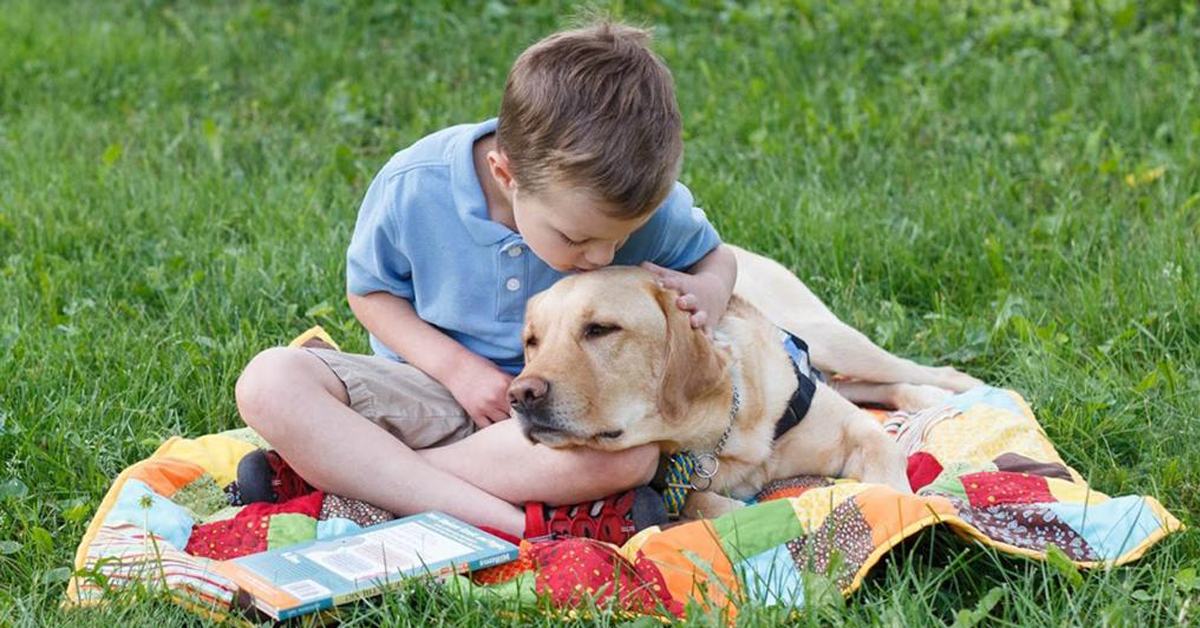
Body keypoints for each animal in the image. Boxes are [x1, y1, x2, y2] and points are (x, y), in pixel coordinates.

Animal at [511, 244, 979, 516]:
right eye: (532, 341)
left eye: (600, 329)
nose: (520, 394)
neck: (724, 433)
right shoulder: (680, 485)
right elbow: (715, 507)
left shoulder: (856, 430)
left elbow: (888, 472)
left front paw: (910, 507)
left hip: (831, 338)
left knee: (928, 371)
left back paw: (950, 393)